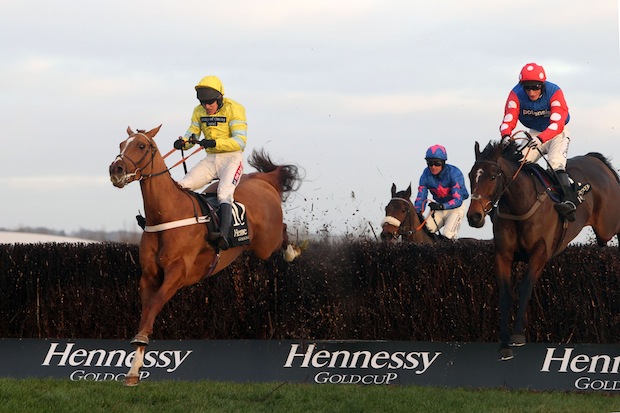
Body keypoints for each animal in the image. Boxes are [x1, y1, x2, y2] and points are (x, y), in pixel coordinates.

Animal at [109, 125, 303, 386]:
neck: (166, 213)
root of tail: (263, 179)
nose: (116, 170)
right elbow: (146, 311)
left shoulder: (177, 274)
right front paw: (133, 370)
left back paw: (292, 252)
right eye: (121, 144)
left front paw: (140, 341)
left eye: (141, 145)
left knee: (281, 231)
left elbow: (155, 305)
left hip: (265, 244)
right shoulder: (148, 277)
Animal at [466, 140, 620, 360]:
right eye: (471, 175)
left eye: (493, 177)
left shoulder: (539, 252)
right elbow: (504, 294)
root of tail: (596, 160)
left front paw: (518, 335)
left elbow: (525, 287)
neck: (520, 204)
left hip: (609, 226)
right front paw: (504, 345)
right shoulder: (502, 255)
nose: (474, 217)